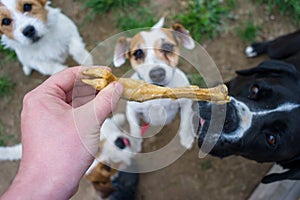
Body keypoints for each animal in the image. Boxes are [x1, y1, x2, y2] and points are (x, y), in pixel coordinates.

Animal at [113, 17, 196, 152]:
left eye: (167, 46)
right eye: (138, 53)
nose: (157, 74)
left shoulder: (185, 103)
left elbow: (185, 122)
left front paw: (187, 137)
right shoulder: (131, 109)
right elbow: (134, 127)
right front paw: (135, 144)